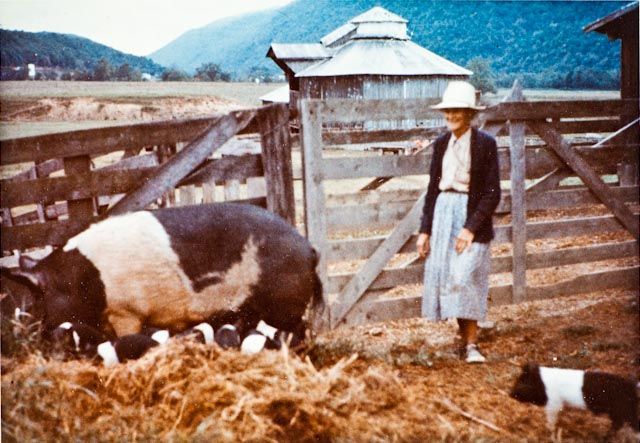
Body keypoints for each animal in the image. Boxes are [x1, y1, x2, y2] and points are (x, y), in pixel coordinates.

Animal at [11, 205, 324, 340]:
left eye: (38, 299)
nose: (28, 332)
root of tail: (308, 248)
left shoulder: (126, 312)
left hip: (284, 304)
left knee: (299, 330)